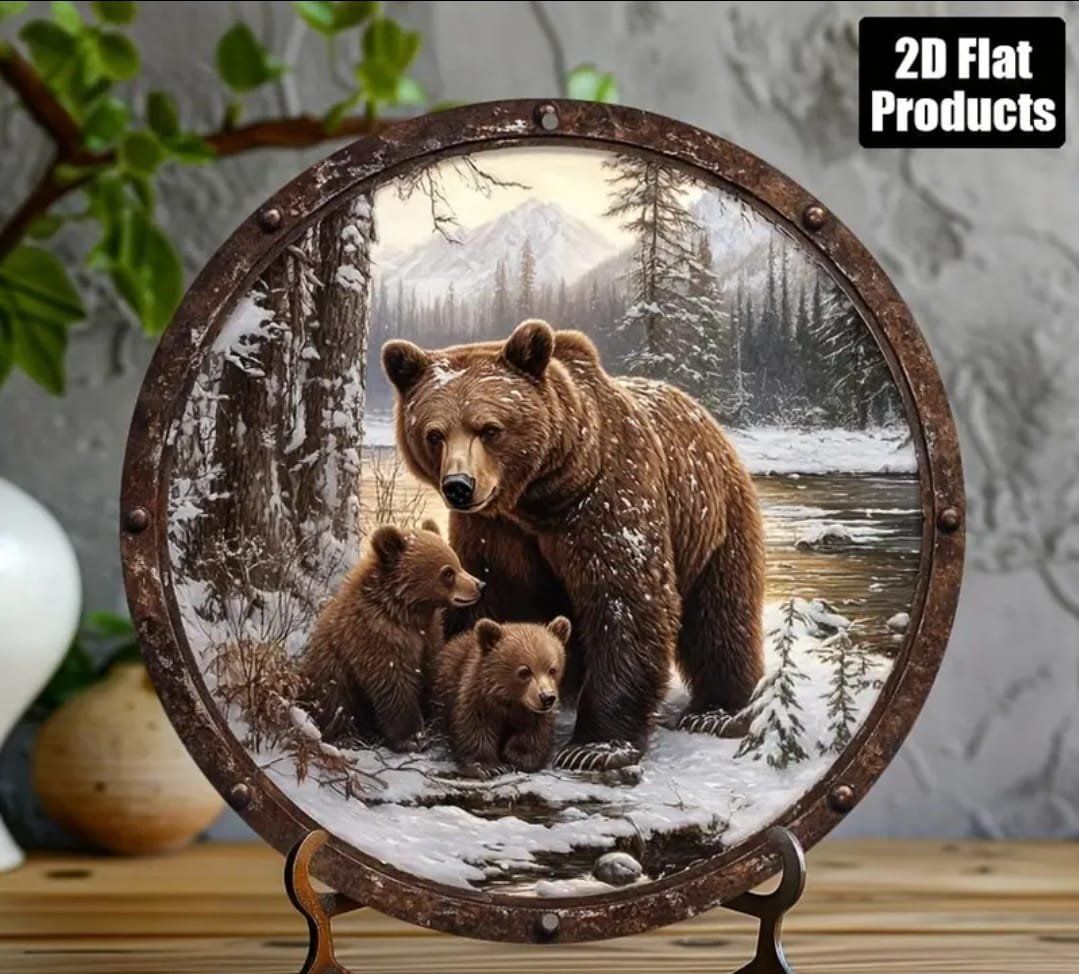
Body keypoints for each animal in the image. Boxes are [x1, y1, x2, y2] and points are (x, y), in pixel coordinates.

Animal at [298, 519, 485, 751]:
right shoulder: (377, 636)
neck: (407, 612)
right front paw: (412, 737)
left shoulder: (429, 635)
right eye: (448, 572)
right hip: (332, 683)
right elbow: (393, 683)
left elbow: (431, 668)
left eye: (458, 562)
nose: (479, 585)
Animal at [434, 616, 571, 776]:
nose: (547, 697)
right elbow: (473, 726)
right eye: (524, 672)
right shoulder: (477, 697)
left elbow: (535, 733)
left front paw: (517, 756)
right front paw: (489, 766)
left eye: (552, 670)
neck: (509, 701)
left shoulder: (535, 715)